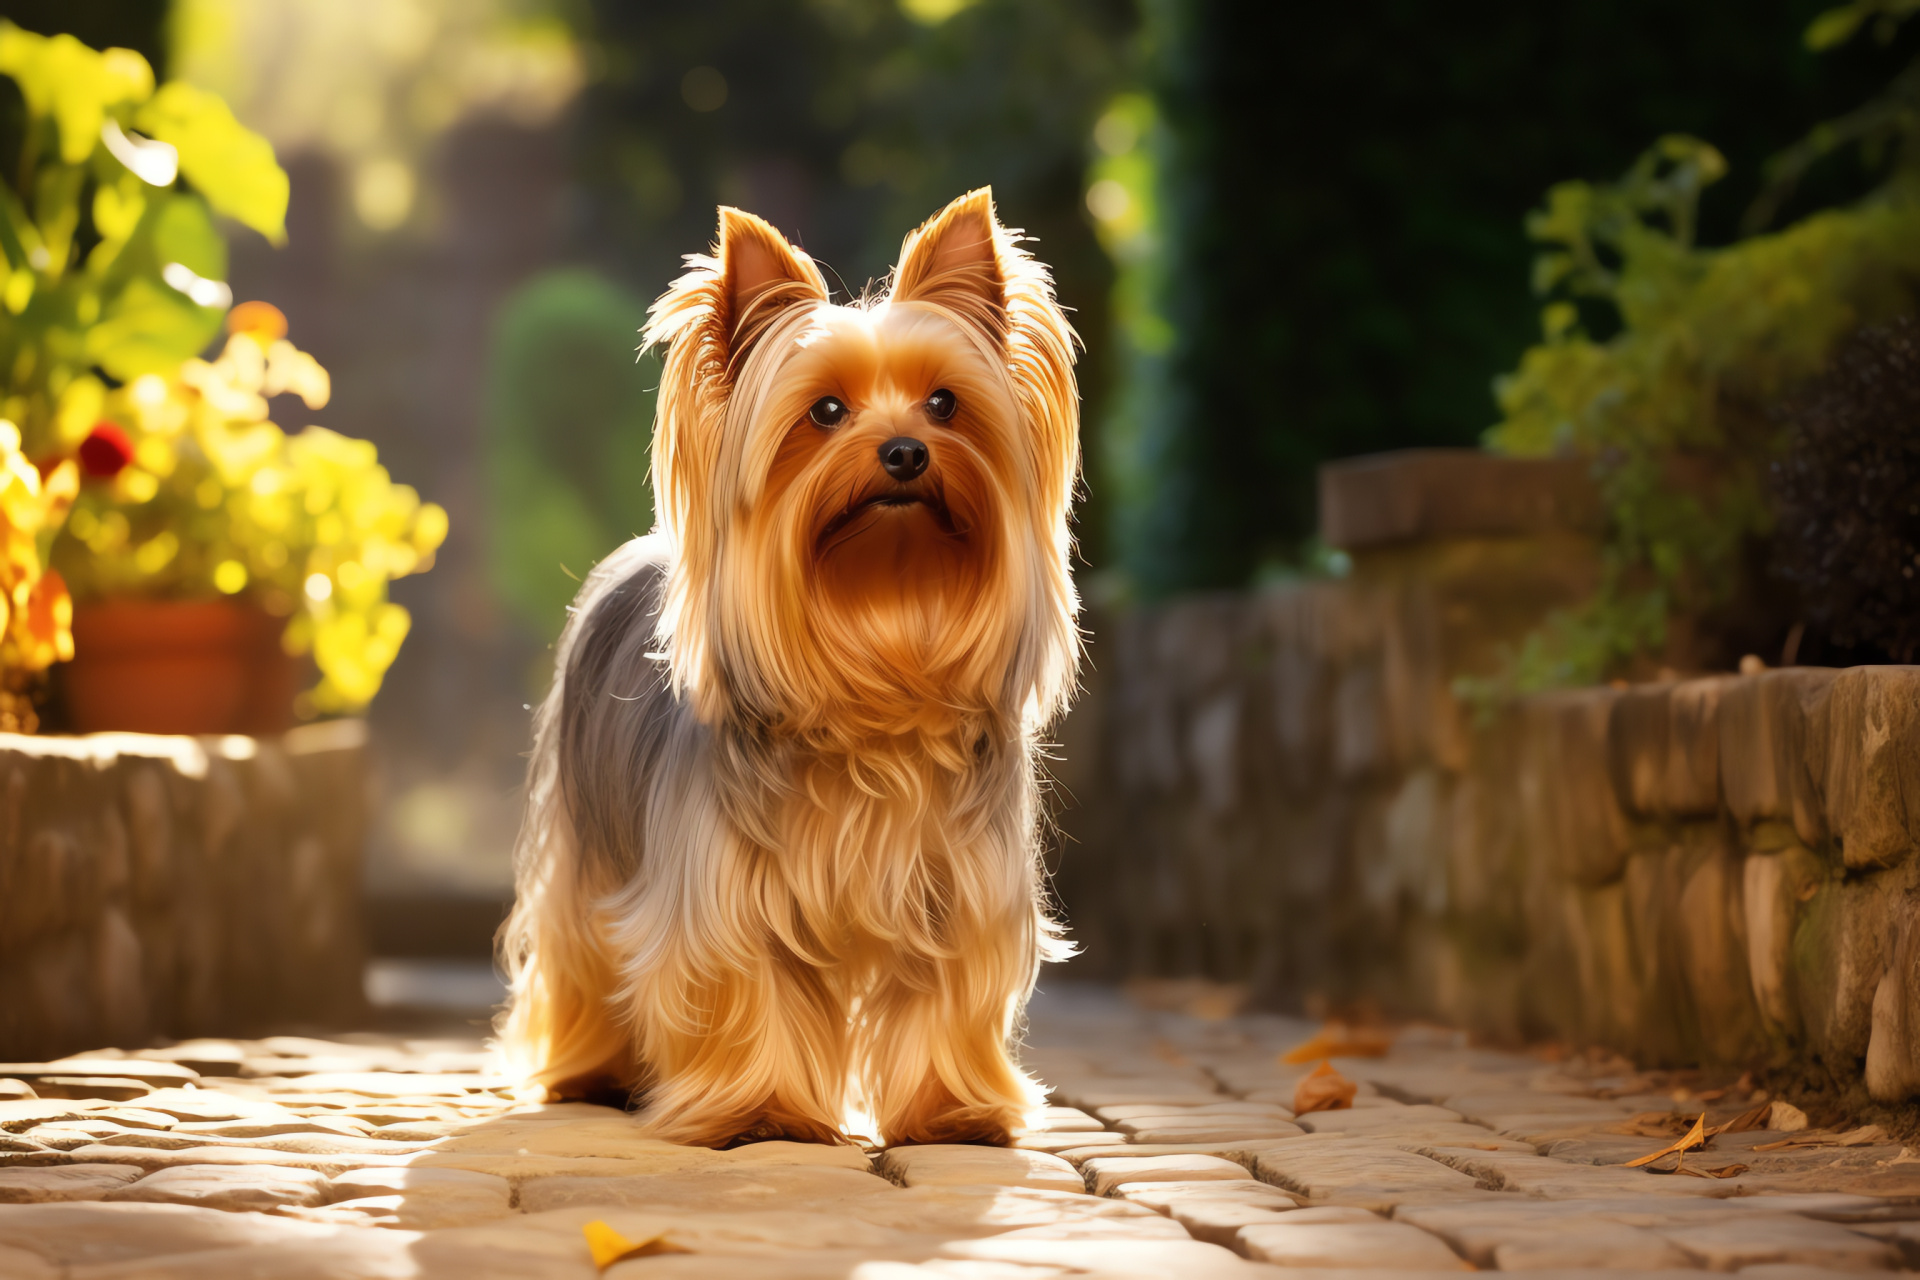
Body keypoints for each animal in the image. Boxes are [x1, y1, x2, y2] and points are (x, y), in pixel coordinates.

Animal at [495, 185, 1082, 1143]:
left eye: (945, 404)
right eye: (826, 412)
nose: (905, 451)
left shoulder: (960, 896)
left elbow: (945, 999)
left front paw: (950, 1112)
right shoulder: (723, 900)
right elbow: (747, 988)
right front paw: (763, 1112)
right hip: (588, 847)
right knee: (577, 947)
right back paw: (590, 1073)